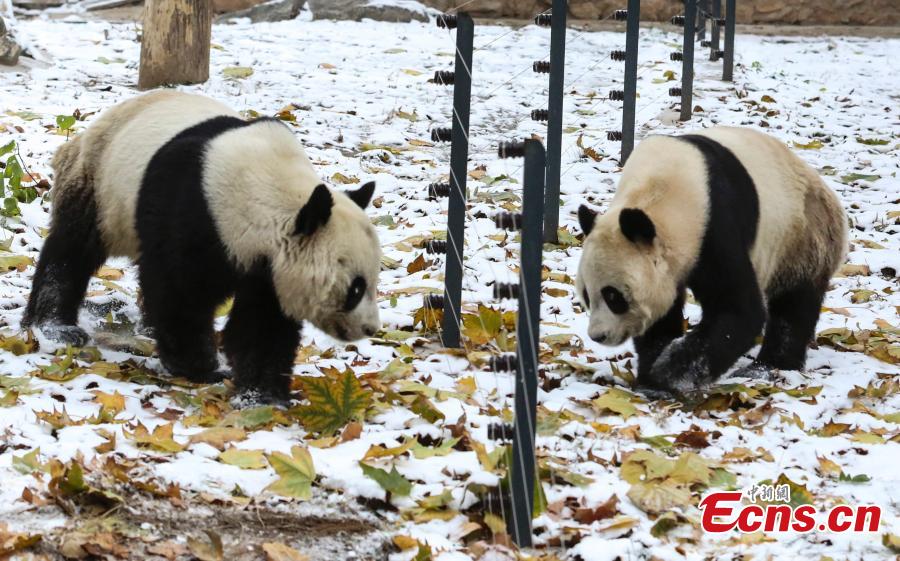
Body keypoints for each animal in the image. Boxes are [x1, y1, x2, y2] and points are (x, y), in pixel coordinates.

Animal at [23, 90, 382, 402]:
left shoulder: (267, 268)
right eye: (356, 288)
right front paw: (201, 369)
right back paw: (57, 327)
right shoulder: (194, 213)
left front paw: (261, 395)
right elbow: (179, 294)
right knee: (71, 252)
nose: (370, 328)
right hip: (99, 183)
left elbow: (262, 326)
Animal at [576, 126, 847, 394]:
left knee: (793, 305)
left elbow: (738, 309)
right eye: (587, 296)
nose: (598, 335)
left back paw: (768, 366)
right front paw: (652, 372)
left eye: (613, 297)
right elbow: (660, 314)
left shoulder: (714, 225)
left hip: (801, 237)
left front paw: (666, 376)